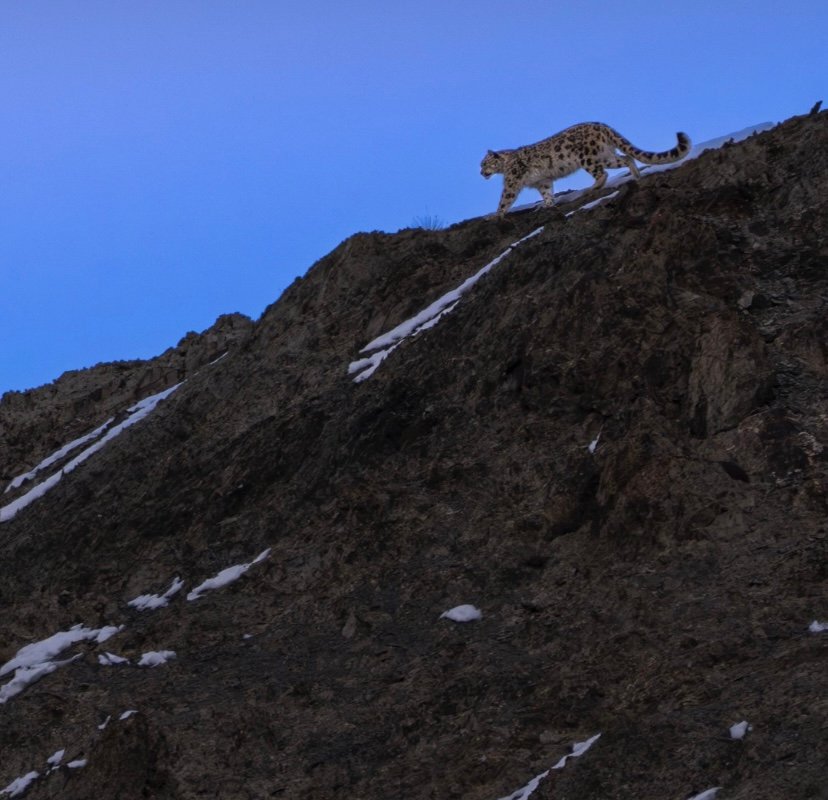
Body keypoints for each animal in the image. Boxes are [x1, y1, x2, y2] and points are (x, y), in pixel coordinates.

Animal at [480, 122, 691, 216]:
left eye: (484, 164)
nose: (481, 173)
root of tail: (601, 125)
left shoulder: (512, 181)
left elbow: (505, 198)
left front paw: (495, 216)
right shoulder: (542, 181)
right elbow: (547, 192)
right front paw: (546, 205)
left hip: (588, 158)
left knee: (602, 173)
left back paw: (592, 188)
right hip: (605, 155)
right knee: (626, 157)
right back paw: (636, 175)